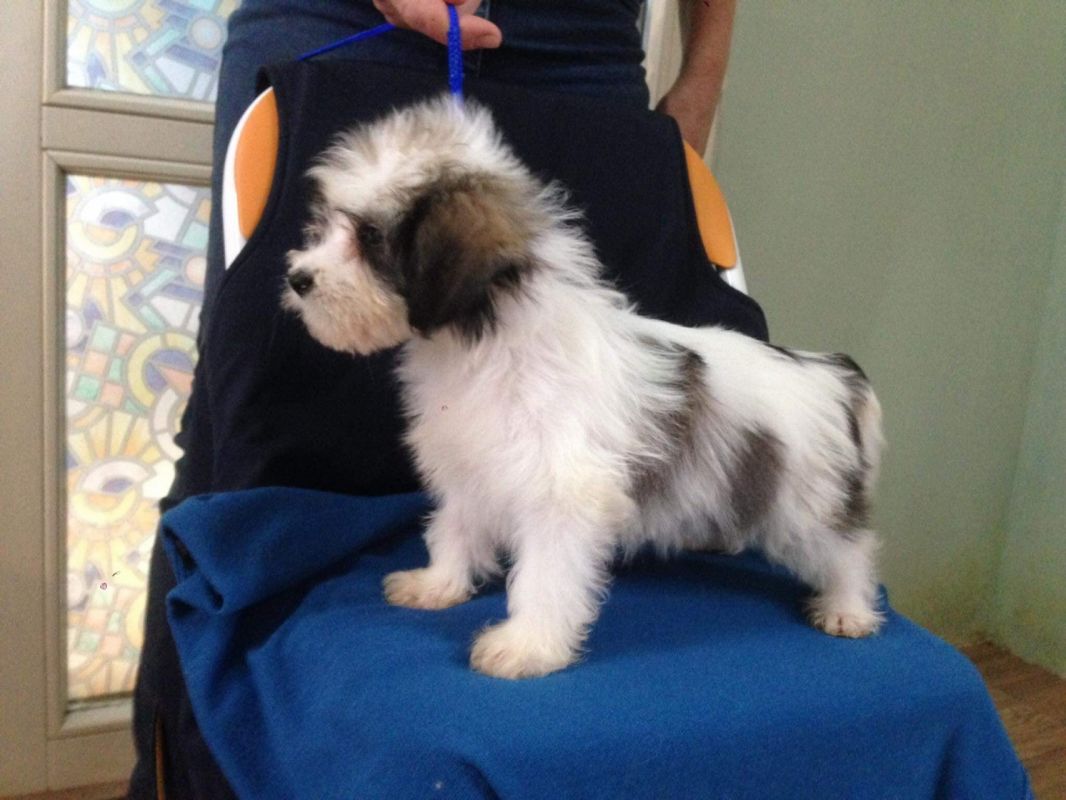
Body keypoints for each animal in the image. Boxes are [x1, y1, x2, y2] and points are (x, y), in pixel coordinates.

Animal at [283, 96, 885, 679]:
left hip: (807, 504)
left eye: (369, 239)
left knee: (850, 551)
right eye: (328, 225)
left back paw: (848, 609)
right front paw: (439, 584)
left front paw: (528, 646)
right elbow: (455, 528)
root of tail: (832, 373)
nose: (298, 278)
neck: (486, 344)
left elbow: (547, 576)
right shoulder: (472, 466)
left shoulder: (562, 494)